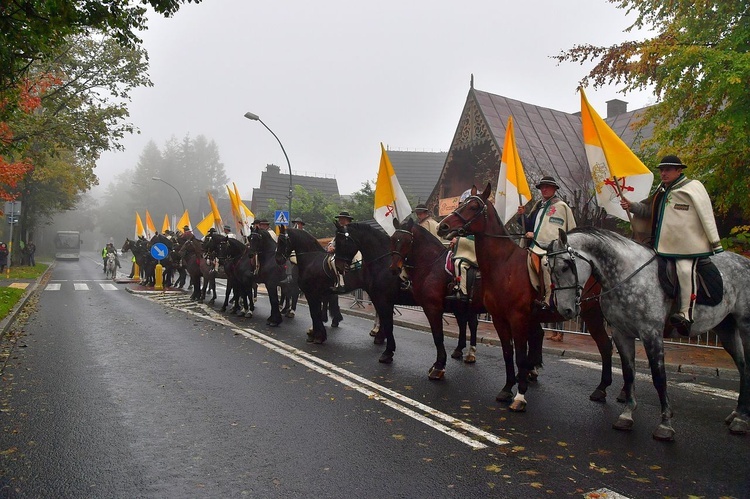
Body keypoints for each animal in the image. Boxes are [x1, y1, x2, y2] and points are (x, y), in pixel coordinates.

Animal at [336, 223, 420, 364]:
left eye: (341, 242)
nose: (338, 266)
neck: (383, 264)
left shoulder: (383, 300)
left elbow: (387, 322)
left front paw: (387, 350)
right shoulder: (378, 298)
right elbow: (383, 317)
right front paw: (380, 336)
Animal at [440, 183, 616, 410]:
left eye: (473, 207)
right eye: (460, 204)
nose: (443, 227)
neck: (503, 265)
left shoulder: (518, 319)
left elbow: (521, 356)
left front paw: (520, 395)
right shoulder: (499, 319)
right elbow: (508, 354)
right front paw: (507, 388)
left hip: (592, 314)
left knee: (606, 345)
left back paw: (606, 390)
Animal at [548, 228, 750, 442]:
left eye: (565, 266)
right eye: (548, 268)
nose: (565, 310)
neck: (626, 275)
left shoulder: (651, 333)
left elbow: (659, 377)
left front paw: (665, 424)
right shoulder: (621, 334)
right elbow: (629, 374)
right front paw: (627, 415)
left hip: (746, 326)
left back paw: (742, 420)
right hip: (726, 328)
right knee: (743, 367)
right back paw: (738, 414)